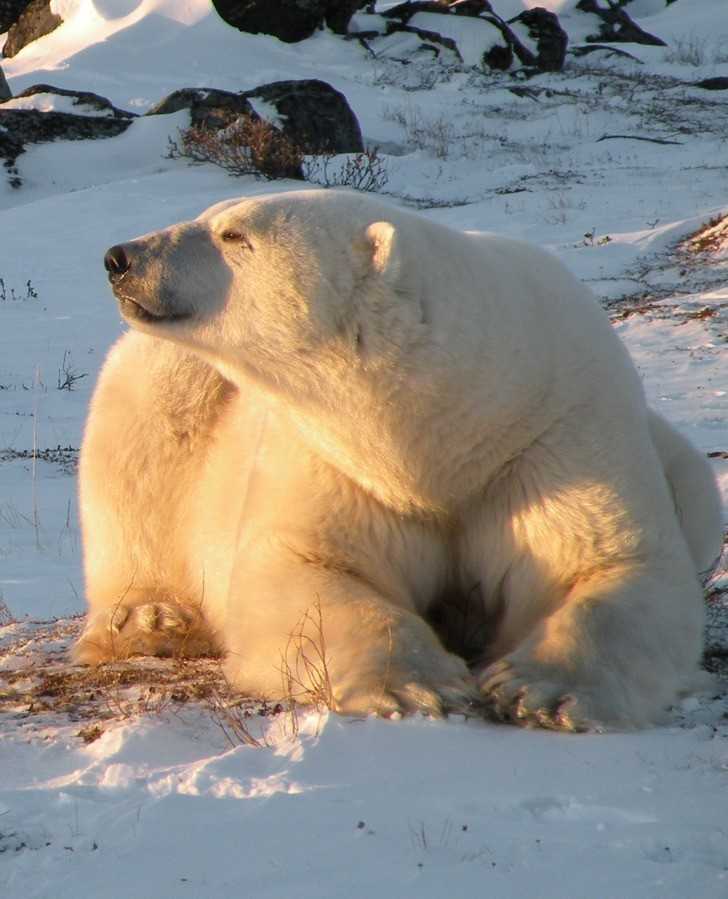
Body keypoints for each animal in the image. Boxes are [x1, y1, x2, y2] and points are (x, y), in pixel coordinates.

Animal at [74, 190, 724, 732]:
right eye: (212, 216)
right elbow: (305, 569)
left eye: (233, 234)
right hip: (168, 381)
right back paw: (151, 618)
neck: (448, 426)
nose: (119, 257)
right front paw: (417, 685)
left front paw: (537, 690)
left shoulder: (554, 432)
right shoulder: (337, 461)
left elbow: (614, 562)